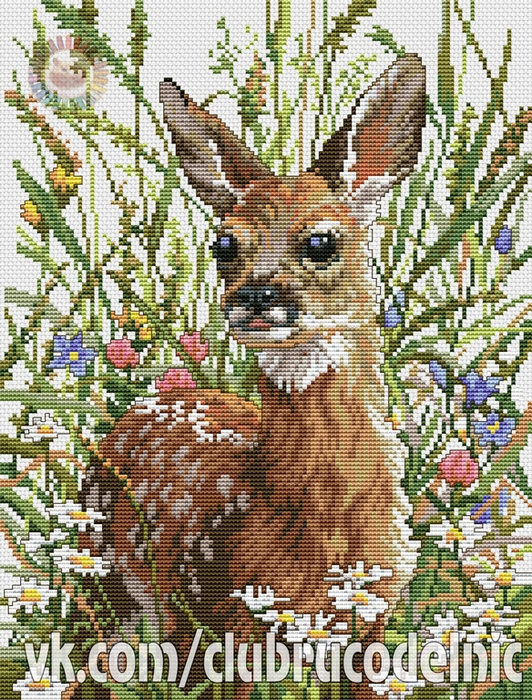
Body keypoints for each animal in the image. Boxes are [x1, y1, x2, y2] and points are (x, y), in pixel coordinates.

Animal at [80, 54, 426, 697]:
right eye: (224, 244)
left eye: (321, 240)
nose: (255, 297)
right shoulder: (223, 615)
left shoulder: (373, 613)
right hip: (112, 571)